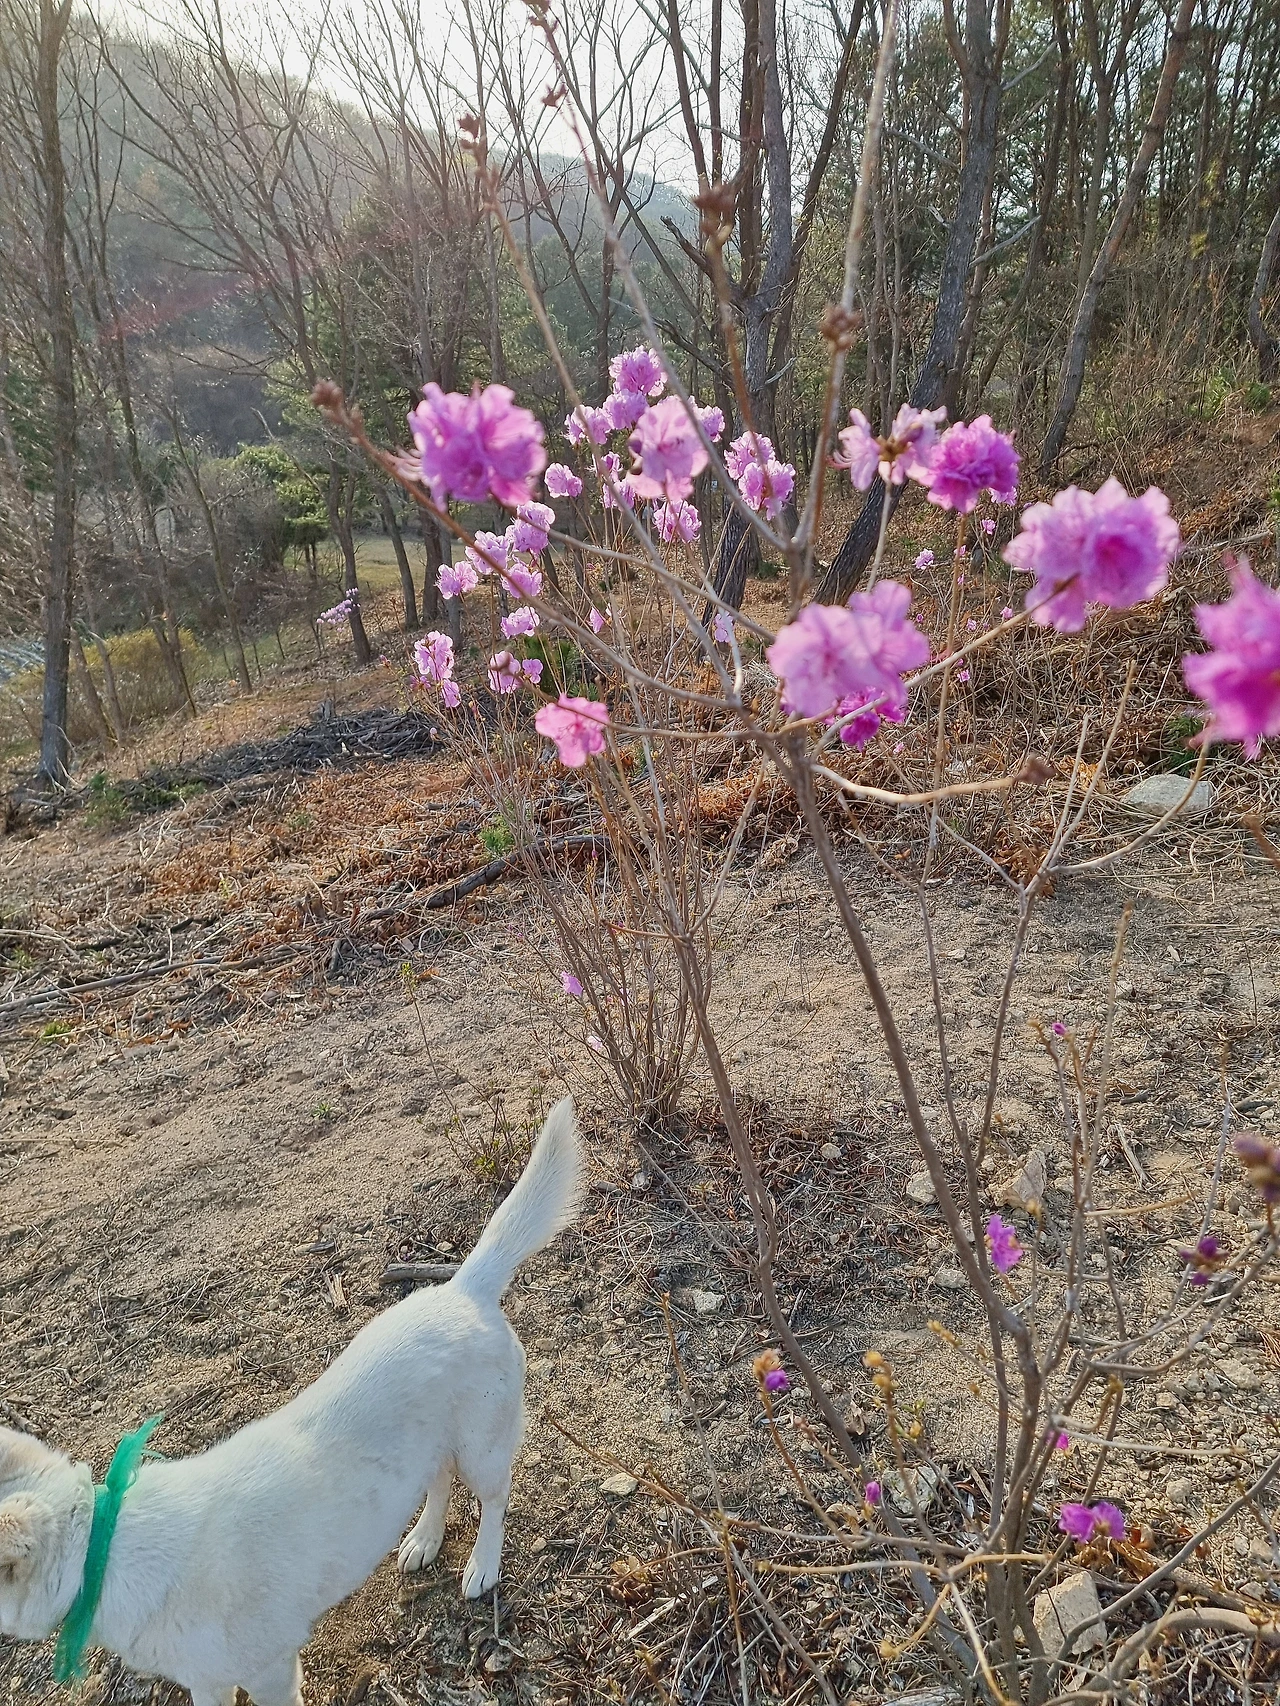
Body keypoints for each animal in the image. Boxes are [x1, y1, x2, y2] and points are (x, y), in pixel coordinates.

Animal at [0, 1097, 582, 1706]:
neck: (106, 1550)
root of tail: (465, 1287)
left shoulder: (269, 1672)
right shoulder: (207, 1680)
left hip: (483, 1449)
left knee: (494, 1500)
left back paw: (482, 1564)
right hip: (432, 1445)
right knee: (438, 1481)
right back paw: (424, 1537)